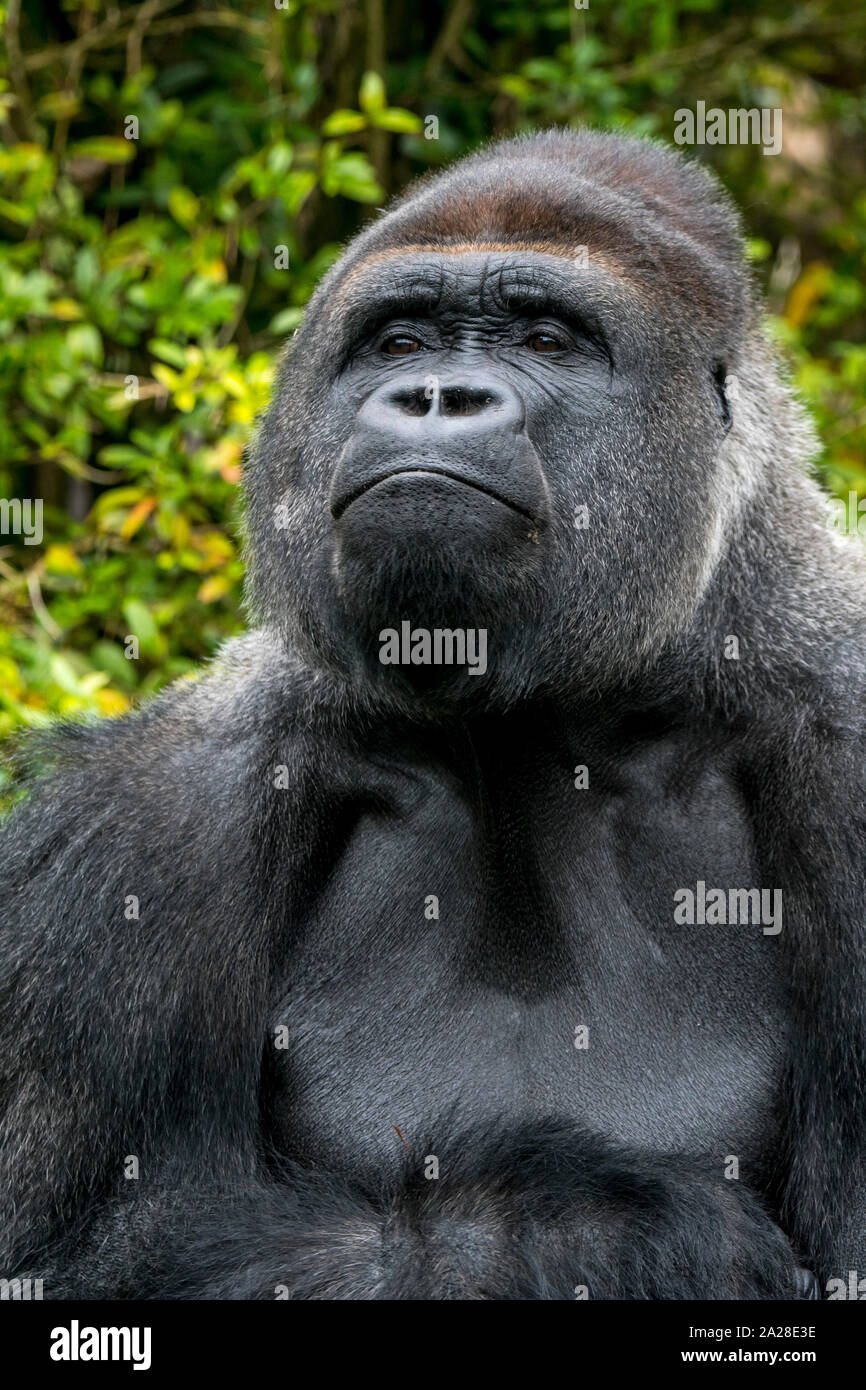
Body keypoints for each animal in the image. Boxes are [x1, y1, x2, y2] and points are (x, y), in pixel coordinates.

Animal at [1, 129, 863, 1299]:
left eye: (546, 338)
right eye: (400, 340)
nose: (436, 394)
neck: (544, 724)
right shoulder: (141, 828)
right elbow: (71, 1249)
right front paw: (588, 1234)